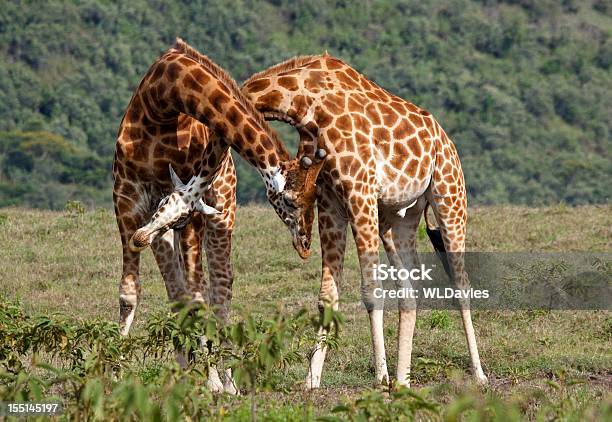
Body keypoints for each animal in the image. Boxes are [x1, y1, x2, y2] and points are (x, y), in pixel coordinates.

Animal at [241, 53, 486, 390]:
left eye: (289, 200)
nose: (302, 246)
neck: (305, 104)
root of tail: (447, 141)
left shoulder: (360, 192)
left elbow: (372, 291)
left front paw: (380, 377)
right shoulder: (331, 203)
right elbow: (327, 296)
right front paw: (312, 379)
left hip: (450, 197)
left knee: (461, 284)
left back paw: (478, 374)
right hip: (398, 220)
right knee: (409, 291)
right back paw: (403, 380)